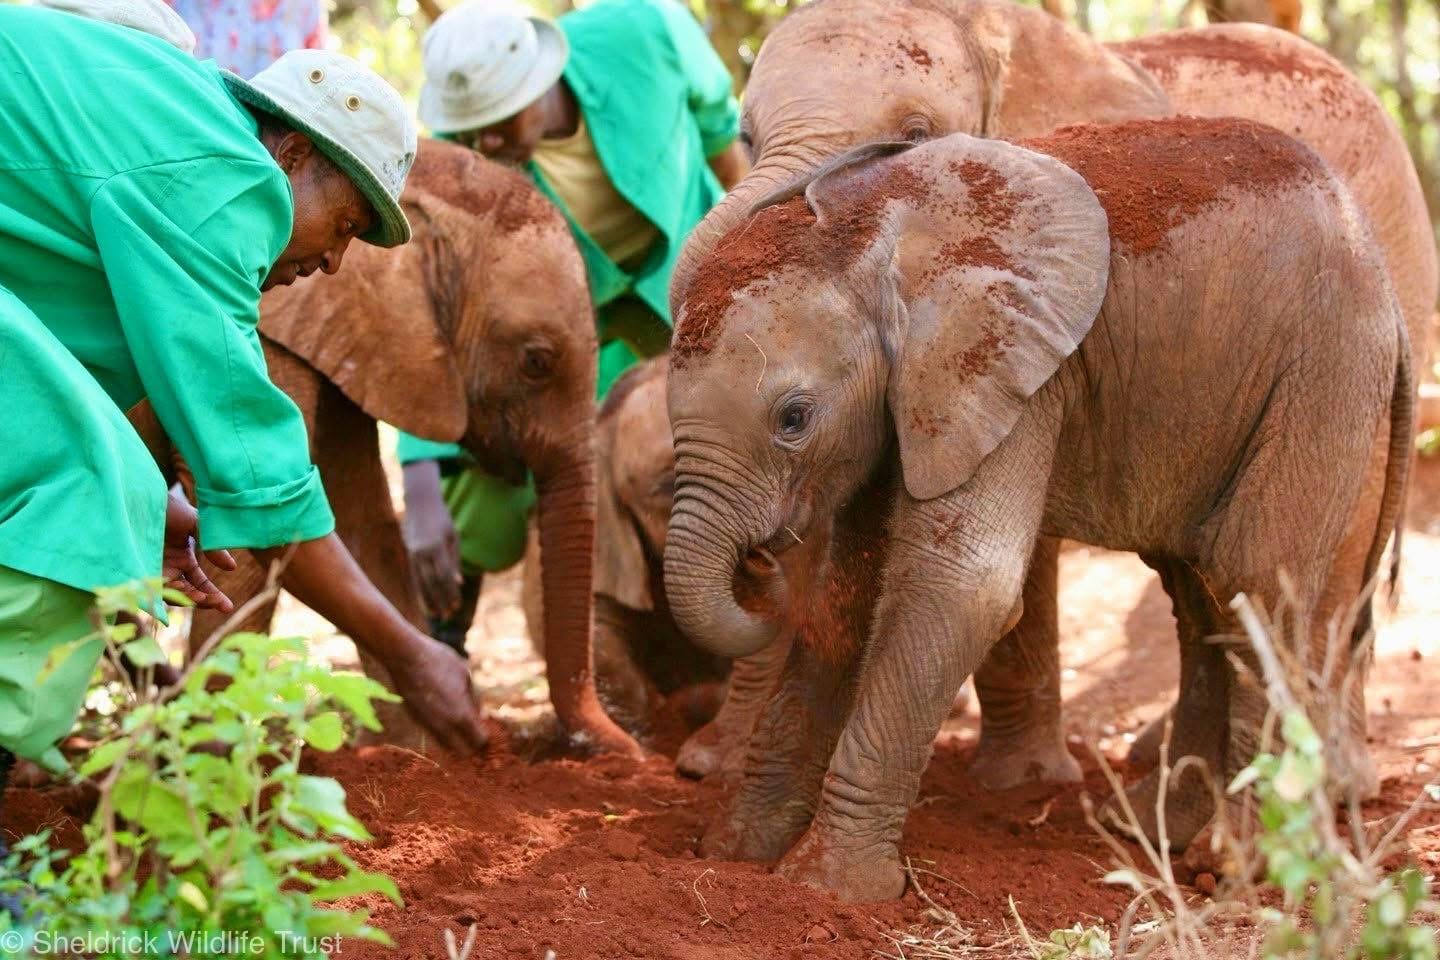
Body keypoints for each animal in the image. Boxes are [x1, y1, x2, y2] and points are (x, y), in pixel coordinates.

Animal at [190, 139, 641, 758]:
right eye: (536, 361)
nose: (637, 754)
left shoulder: (354, 342)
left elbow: (363, 521)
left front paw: (417, 753)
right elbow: (254, 512)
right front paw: (207, 764)